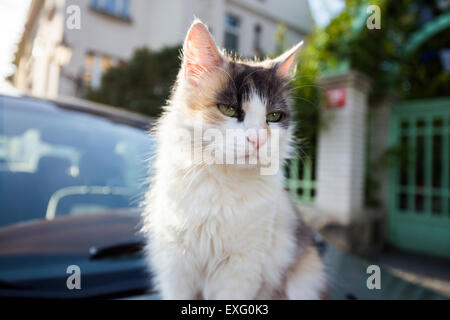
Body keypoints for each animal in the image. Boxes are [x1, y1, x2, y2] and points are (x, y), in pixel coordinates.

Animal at [143, 19, 326, 300]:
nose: (258, 139)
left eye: (273, 116)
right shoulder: (176, 266)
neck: (223, 185)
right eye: (228, 110)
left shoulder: (240, 269)